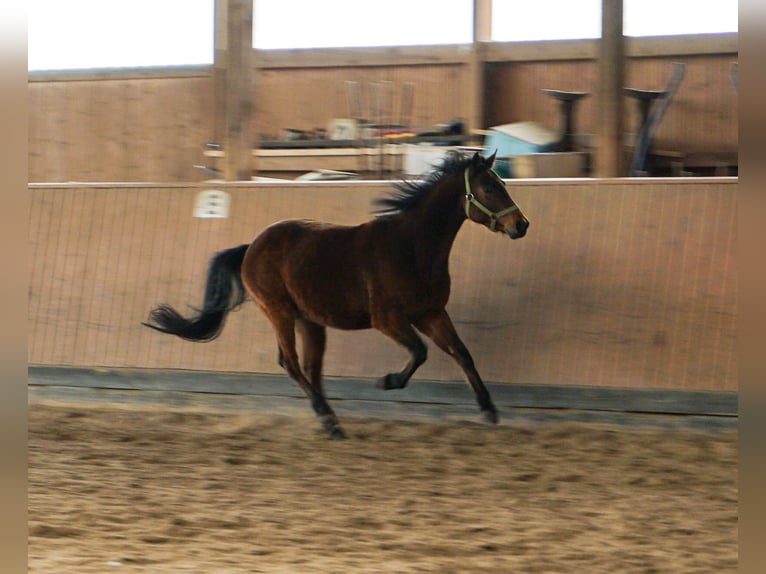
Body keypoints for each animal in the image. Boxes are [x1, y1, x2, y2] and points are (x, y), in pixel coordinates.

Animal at [144, 151, 528, 438]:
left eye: (502, 184)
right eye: (488, 188)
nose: (521, 225)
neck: (410, 248)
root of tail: (250, 247)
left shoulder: (431, 313)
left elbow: (461, 353)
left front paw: (489, 410)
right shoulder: (388, 319)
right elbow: (419, 352)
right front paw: (387, 381)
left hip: (310, 321)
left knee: (311, 368)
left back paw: (331, 419)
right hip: (279, 312)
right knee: (291, 363)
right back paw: (328, 420)